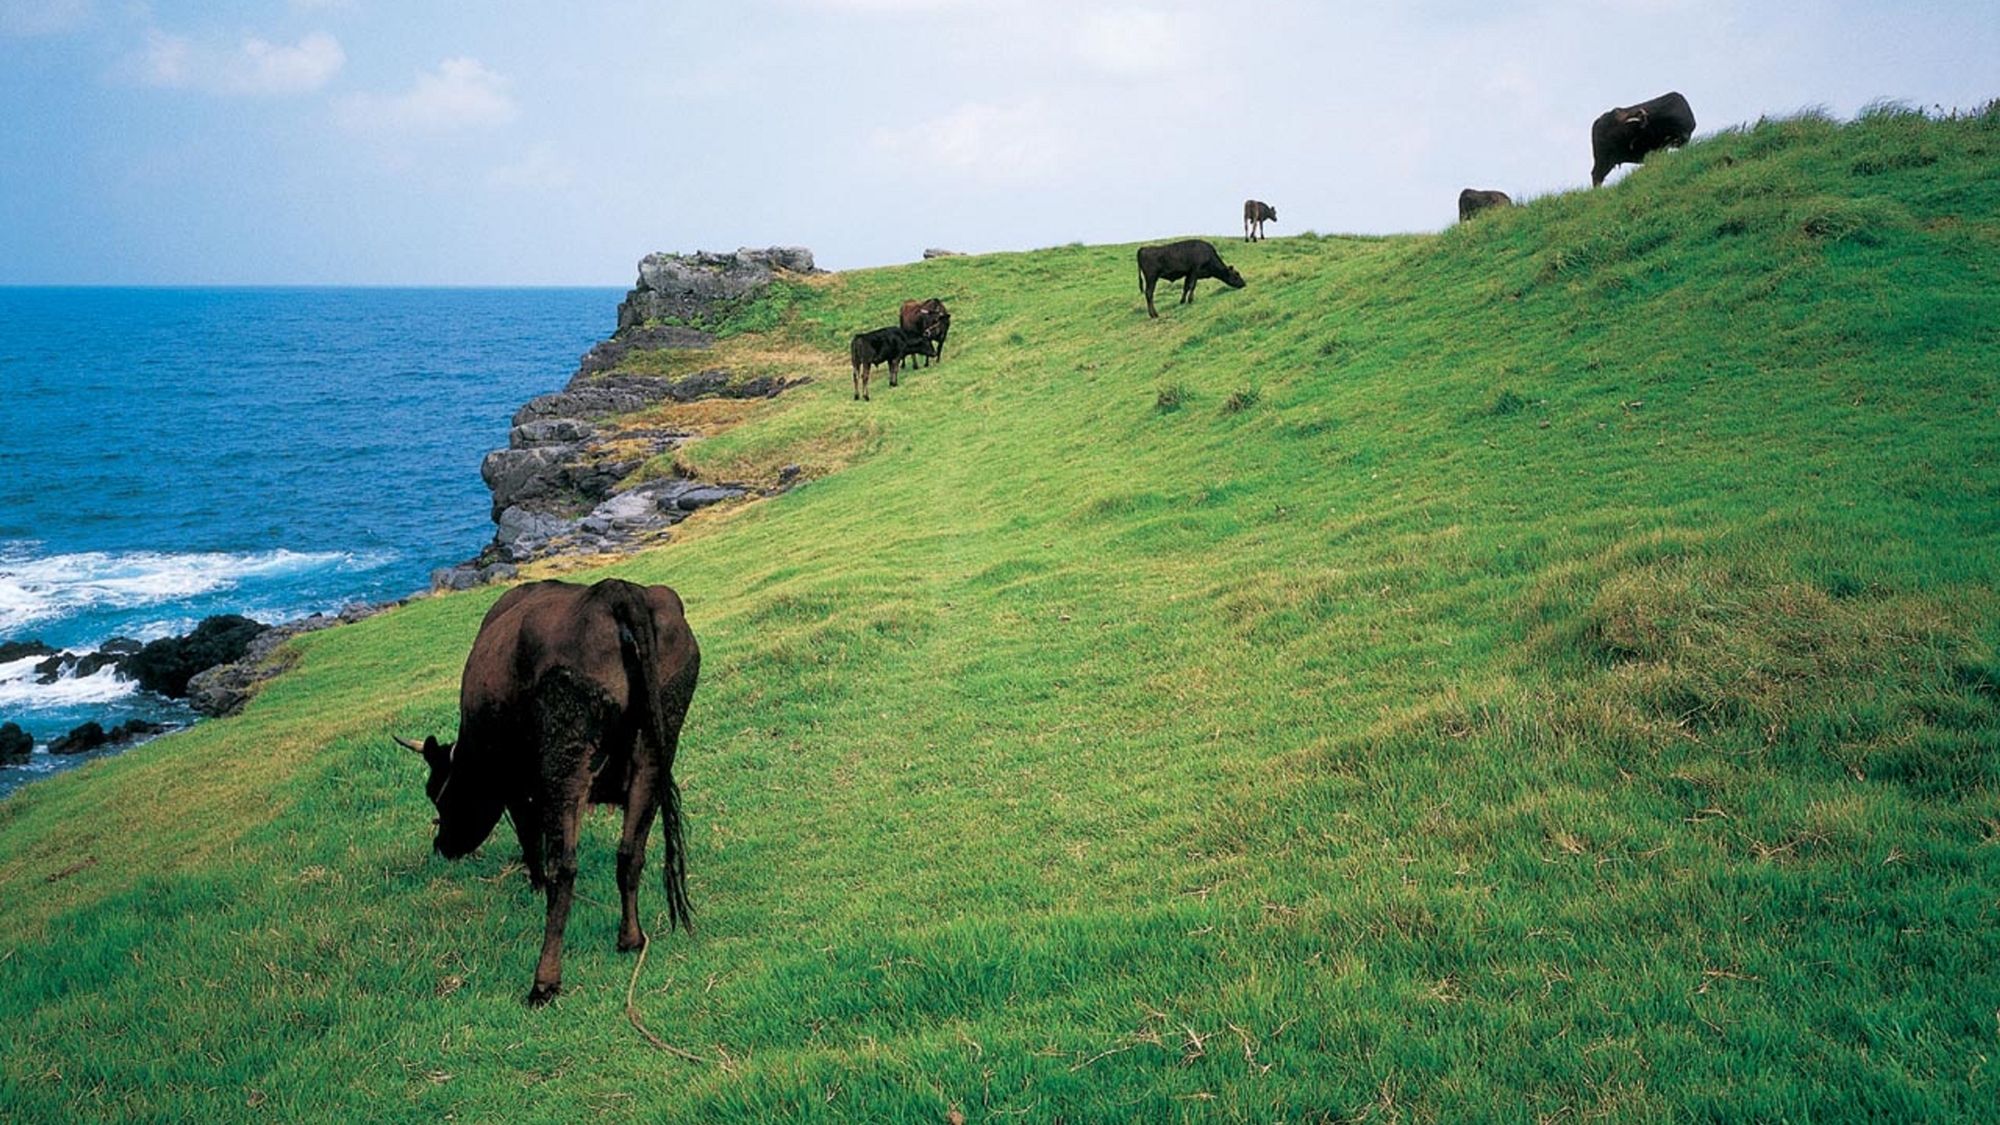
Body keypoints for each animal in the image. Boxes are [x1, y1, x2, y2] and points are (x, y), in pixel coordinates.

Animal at [394, 572, 700, 1000]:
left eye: (436, 792)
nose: (442, 847)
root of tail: (613, 590)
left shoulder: (516, 786)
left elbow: (528, 836)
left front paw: (534, 884)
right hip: (658, 744)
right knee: (630, 852)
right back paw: (630, 939)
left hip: (565, 754)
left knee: (565, 867)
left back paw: (544, 981)